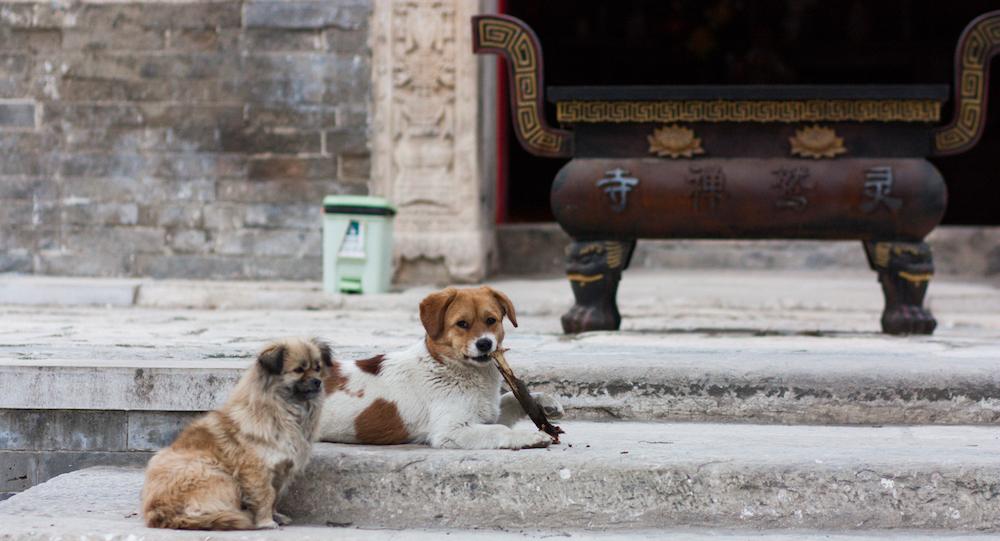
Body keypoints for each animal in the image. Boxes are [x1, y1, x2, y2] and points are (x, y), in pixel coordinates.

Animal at [143, 336, 334, 528]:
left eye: (317, 368)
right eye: (299, 370)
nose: (318, 381)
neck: (285, 410)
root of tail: (159, 513)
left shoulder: (282, 471)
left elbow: (275, 497)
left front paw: (276, 516)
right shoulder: (257, 469)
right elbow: (266, 495)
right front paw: (266, 522)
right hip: (221, 477)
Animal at [318, 284, 564, 450]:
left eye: (491, 320)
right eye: (462, 324)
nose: (485, 343)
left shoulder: (486, 415)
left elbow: (510, 400)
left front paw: (546, 401)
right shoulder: (452, 430)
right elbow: (500, 430)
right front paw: (531, 437)